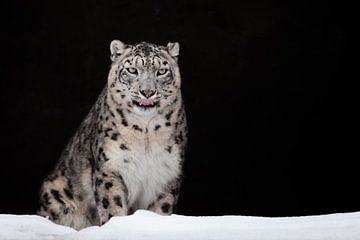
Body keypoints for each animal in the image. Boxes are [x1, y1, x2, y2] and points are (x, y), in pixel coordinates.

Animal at [37, 40, 187, 230]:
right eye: (132, 70)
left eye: (161, 71)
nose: (147, 92)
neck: (146, 134)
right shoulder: (110, 166)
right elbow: (112, 204)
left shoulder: (168, 171)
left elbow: (162, 208)